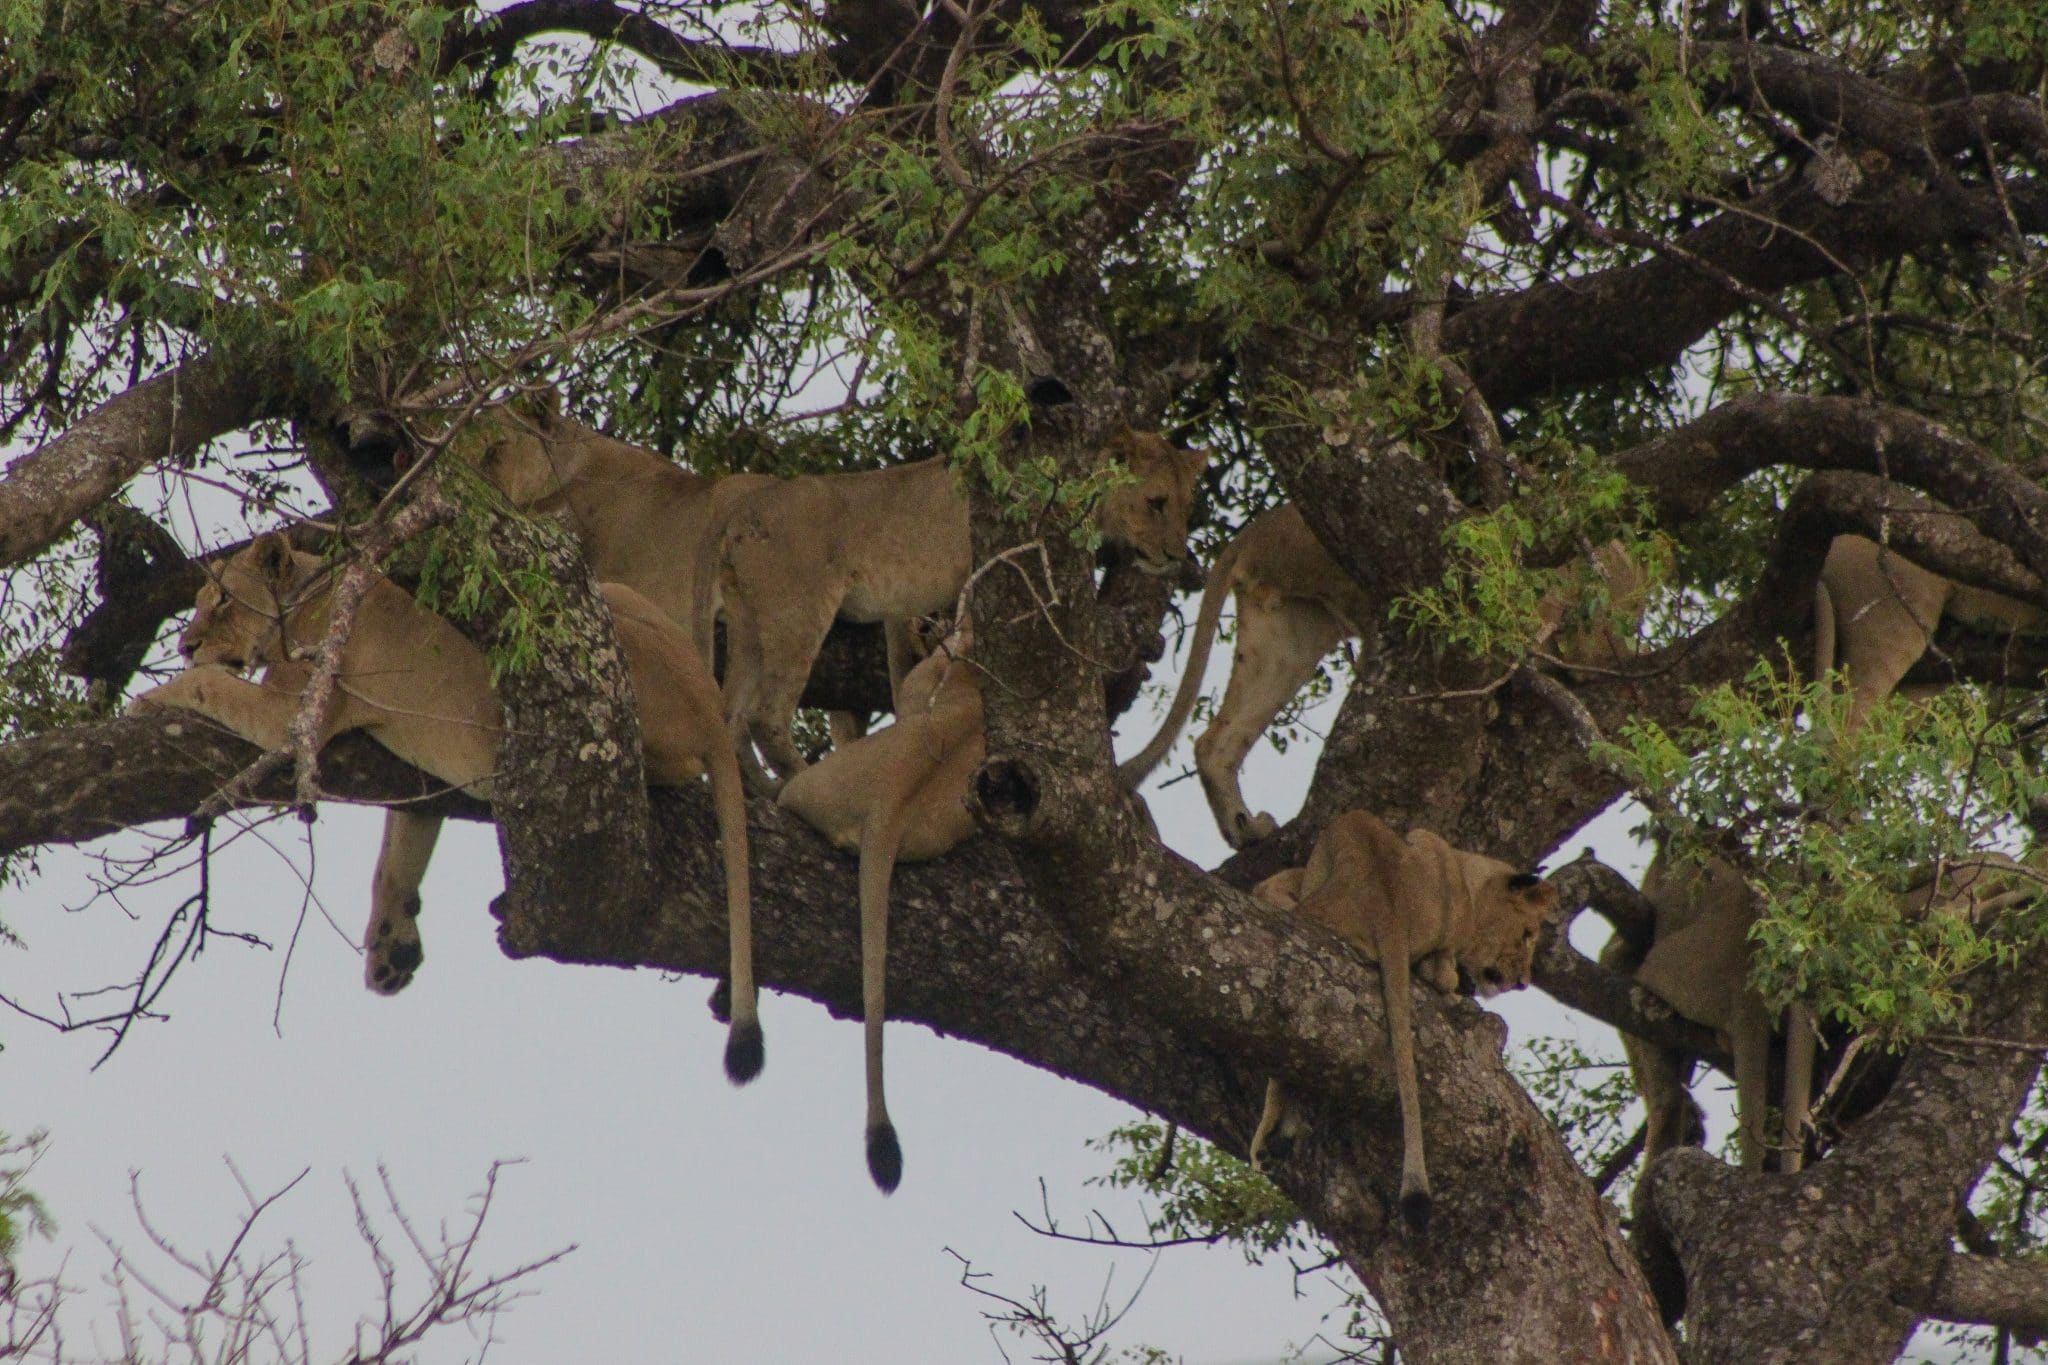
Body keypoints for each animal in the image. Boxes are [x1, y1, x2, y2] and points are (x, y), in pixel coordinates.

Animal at [130, 533, 764, 1084]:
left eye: (223, 602)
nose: (185, 645)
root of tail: (711, 709)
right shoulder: (418, 779)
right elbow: (394, 857)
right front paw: (390, 952)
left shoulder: (290, 715)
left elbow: (212, 686)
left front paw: (150, 697)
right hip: (609, 592)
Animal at [699, 431, 1207, 791]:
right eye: (1156, 502)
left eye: (1187, 507)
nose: (1175, 556)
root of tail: (739, 513)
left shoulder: (905, 608)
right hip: (799, 614)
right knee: (765, 717)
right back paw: (798, 781)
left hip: (750, 624)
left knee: (730, 716)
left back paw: (757, 790)